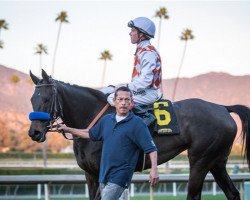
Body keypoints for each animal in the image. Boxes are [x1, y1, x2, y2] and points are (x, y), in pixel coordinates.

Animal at [27, 69, 250, 199]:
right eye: (32, 99)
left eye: (46, 99)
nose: (34, 132)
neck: (92, 120)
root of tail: (222, 108)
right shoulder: (90, 174)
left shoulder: (104, 173)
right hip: (217, 161)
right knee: (232, 193)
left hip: (200, 160)